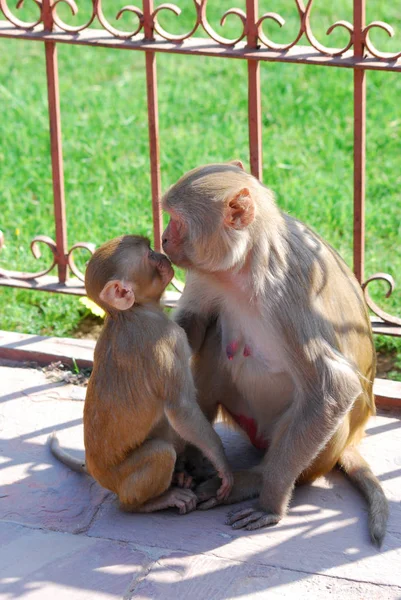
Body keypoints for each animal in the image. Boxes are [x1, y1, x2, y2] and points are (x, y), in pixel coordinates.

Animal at [49, 237, 231, 512]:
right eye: (149, 255)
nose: (162, 253)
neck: (130, 313)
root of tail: (98, 475)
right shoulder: (167, 340)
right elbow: (181, 409)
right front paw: (222, 463)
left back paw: (180, 476)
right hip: (123, 479)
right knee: (160, 453)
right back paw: (153, 501)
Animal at [162, 162, 388, 548]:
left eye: (175, 220)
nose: (162, 239)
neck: (247, 261)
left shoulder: (287, 295)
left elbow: (332, 388)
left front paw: (269, 505)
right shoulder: (209, 274)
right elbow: (192, 326)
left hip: (315, 452)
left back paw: (252, 481)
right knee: (214, 335)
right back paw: (194, 460)